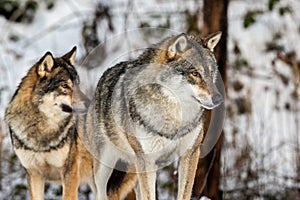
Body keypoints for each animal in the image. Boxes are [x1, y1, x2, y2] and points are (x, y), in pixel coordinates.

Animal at [79, 32, 223, 199]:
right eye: (195, 73)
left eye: (211, 73)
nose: (218, 99)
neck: (173, 116)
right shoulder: (147, 160)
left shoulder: (190, 154)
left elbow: (184, 194)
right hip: (104, 167)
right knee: (100, 192)